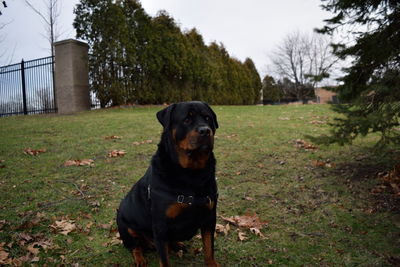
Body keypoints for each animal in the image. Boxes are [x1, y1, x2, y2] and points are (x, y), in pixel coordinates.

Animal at [117, 101, 220, 266]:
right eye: (187, 119)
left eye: (207, 118)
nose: (205, 130)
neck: (192, 173)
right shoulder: (160, 225)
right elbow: (164, 260)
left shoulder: (209, 217)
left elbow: (209, 249)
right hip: (125, 226)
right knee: (135, 246)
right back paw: (140, 258)